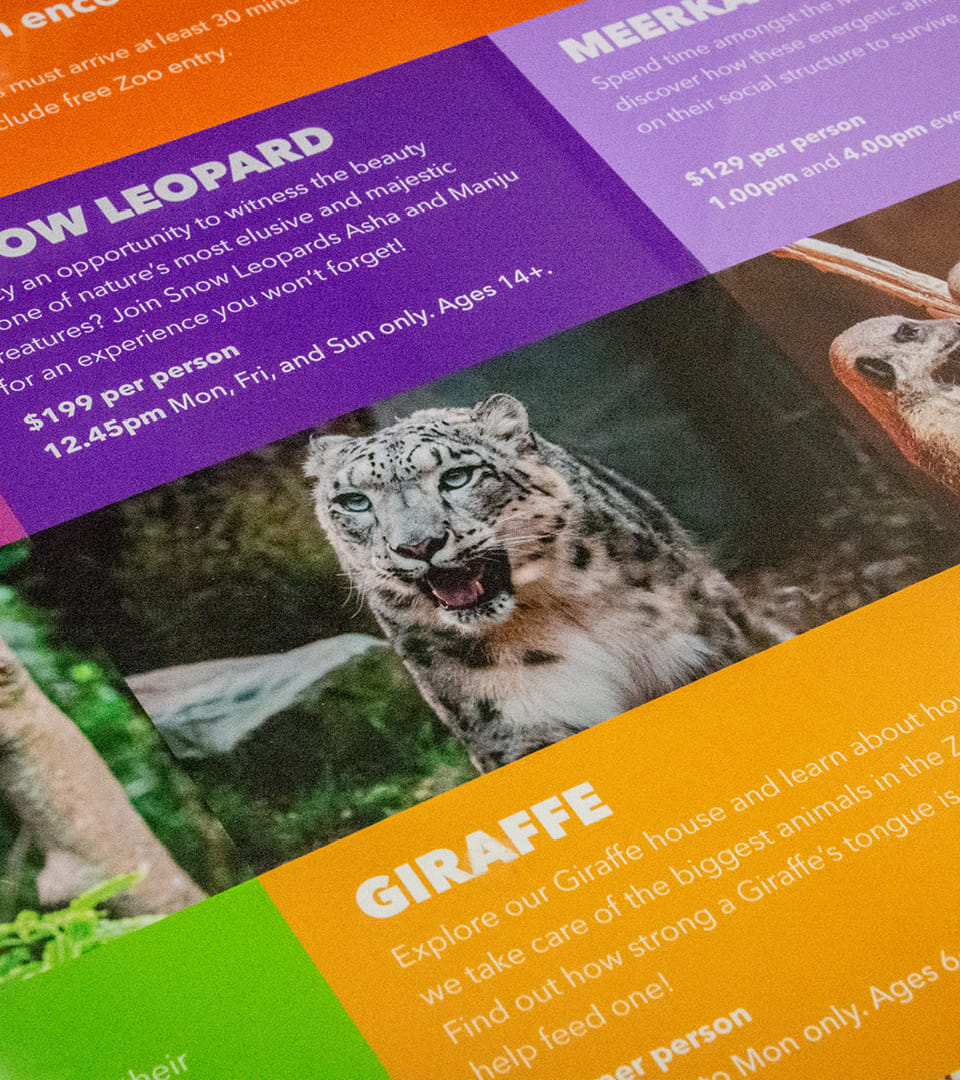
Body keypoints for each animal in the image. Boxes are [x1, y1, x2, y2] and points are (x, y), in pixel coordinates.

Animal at [305, 394, 787, 773]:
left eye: (457, 477)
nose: (418, 544)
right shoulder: (513, 719)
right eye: (354, 501)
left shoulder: (695, 648)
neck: (559, 611)